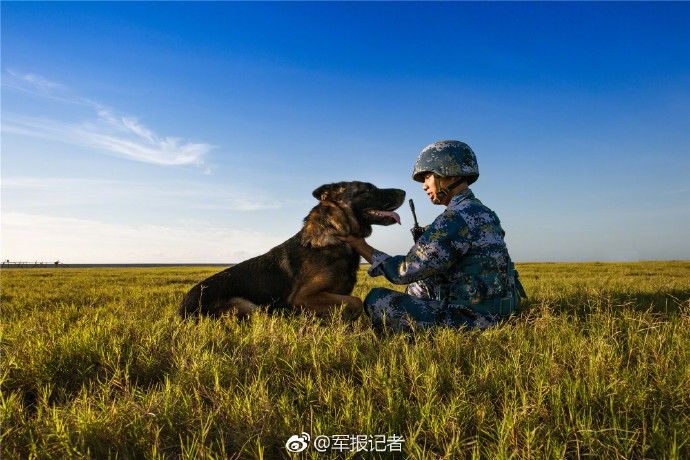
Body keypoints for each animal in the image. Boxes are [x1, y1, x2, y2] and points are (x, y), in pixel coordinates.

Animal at [179, 181, 404, 318]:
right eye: (367, 189)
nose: (404, 191)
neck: (334, 238)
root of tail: (181, 310)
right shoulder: (304, 296)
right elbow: (356, 302)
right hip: (250, 306)